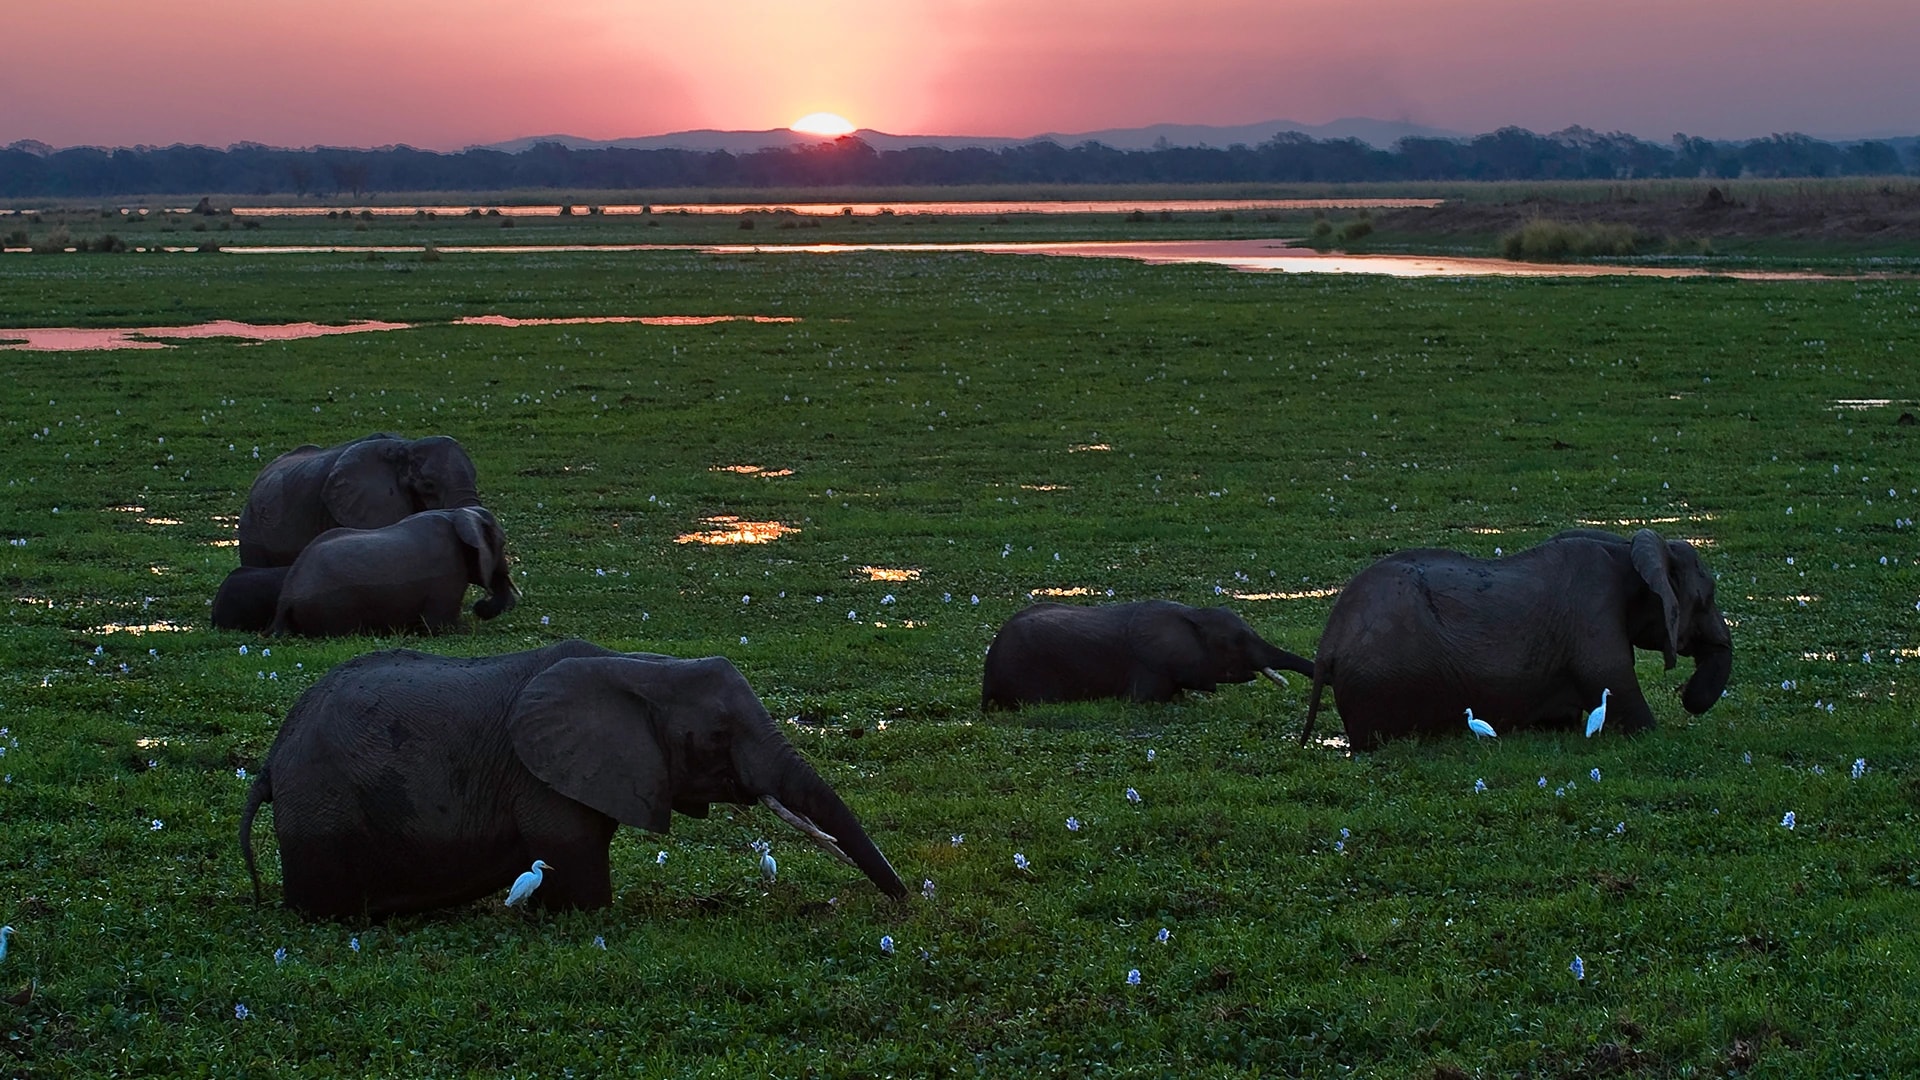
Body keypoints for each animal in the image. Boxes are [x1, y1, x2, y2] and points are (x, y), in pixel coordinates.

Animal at [239, 640, 908, 917]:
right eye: (717, 736)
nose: (907, 903)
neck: (634, 666)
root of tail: (270, 761)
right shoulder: (538, 775)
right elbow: (575, 857)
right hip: (320, 808)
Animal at [270, 507, 515, 637]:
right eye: (502, 544)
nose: (480, 606)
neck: (456, 513)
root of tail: (284, 602)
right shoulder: (448, 573)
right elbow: (438, 626)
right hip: (334, 607)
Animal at [1301, 528, 1732, 750]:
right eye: (1707, 597)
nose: (1685, 693)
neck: (1623, 548)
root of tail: (1328, 644)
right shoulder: (1593, 620)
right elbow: (1623, 695)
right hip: (1377, 681)